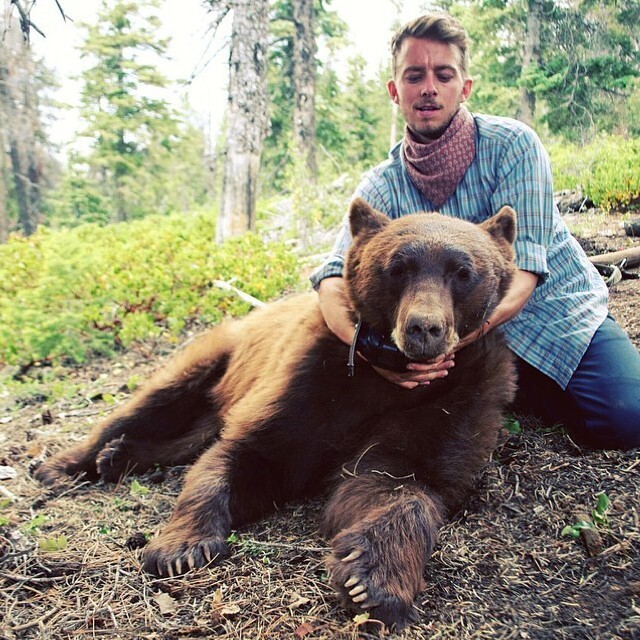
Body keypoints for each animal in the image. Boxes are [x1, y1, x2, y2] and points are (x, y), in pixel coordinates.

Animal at [33, 200, 516, 632]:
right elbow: (253, 454)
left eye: (462, 272)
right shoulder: (314, 380)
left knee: (187, 436)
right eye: (397, 268)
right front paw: (180, 547)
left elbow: (398, 479)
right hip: (216, 357)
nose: (423, 328)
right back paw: (65, 464)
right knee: (150, 405)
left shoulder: (456, 394)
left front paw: (372, 584)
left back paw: (117, 457)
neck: (388, 379)